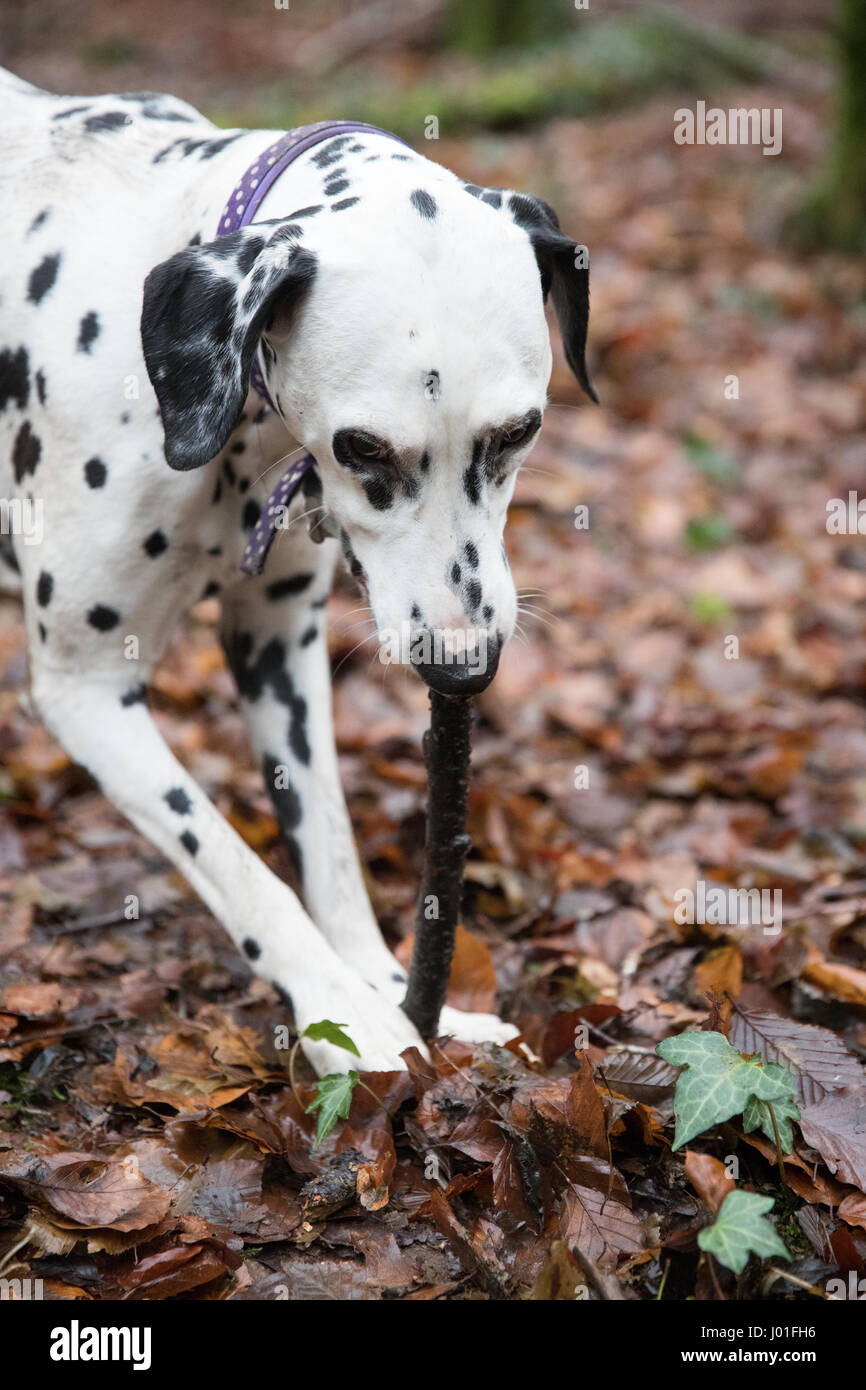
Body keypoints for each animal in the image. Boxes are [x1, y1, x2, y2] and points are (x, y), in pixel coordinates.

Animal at [0, 65, 594, 1073]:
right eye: (361, 447)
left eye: (520, 431)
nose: (463, 668)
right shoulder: (85, 690)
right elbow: (238, 866)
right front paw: (345, 1015)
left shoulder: (277, 648)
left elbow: (330, 850)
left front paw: (393, 992)